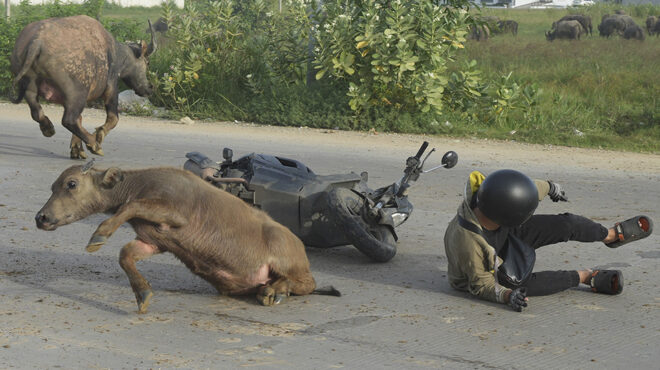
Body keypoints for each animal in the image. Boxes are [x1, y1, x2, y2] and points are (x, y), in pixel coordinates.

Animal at [11, 15, 156, 159]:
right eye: (147, 62)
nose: (149, 88)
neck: (115, 53)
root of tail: (37, 41)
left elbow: (81, 119)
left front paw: (77, 149)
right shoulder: (111, 88)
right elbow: (113, 118)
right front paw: (98, 135)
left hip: (30, 88)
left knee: (38, 113)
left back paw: (48, 128)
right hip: (77, 95)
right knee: (69, 120)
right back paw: (94, 145)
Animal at [34, 163, 340, 312]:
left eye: (71, 184)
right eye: (53, 186)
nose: (41, 217)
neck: (140, 184)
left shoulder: (175, 213)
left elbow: (129, 206)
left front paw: (99, 235)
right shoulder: (154, 241)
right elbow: (125, 255)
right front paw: (142, 294)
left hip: (287, 255)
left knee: (307, 283)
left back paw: (275, 292)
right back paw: (270, 290)